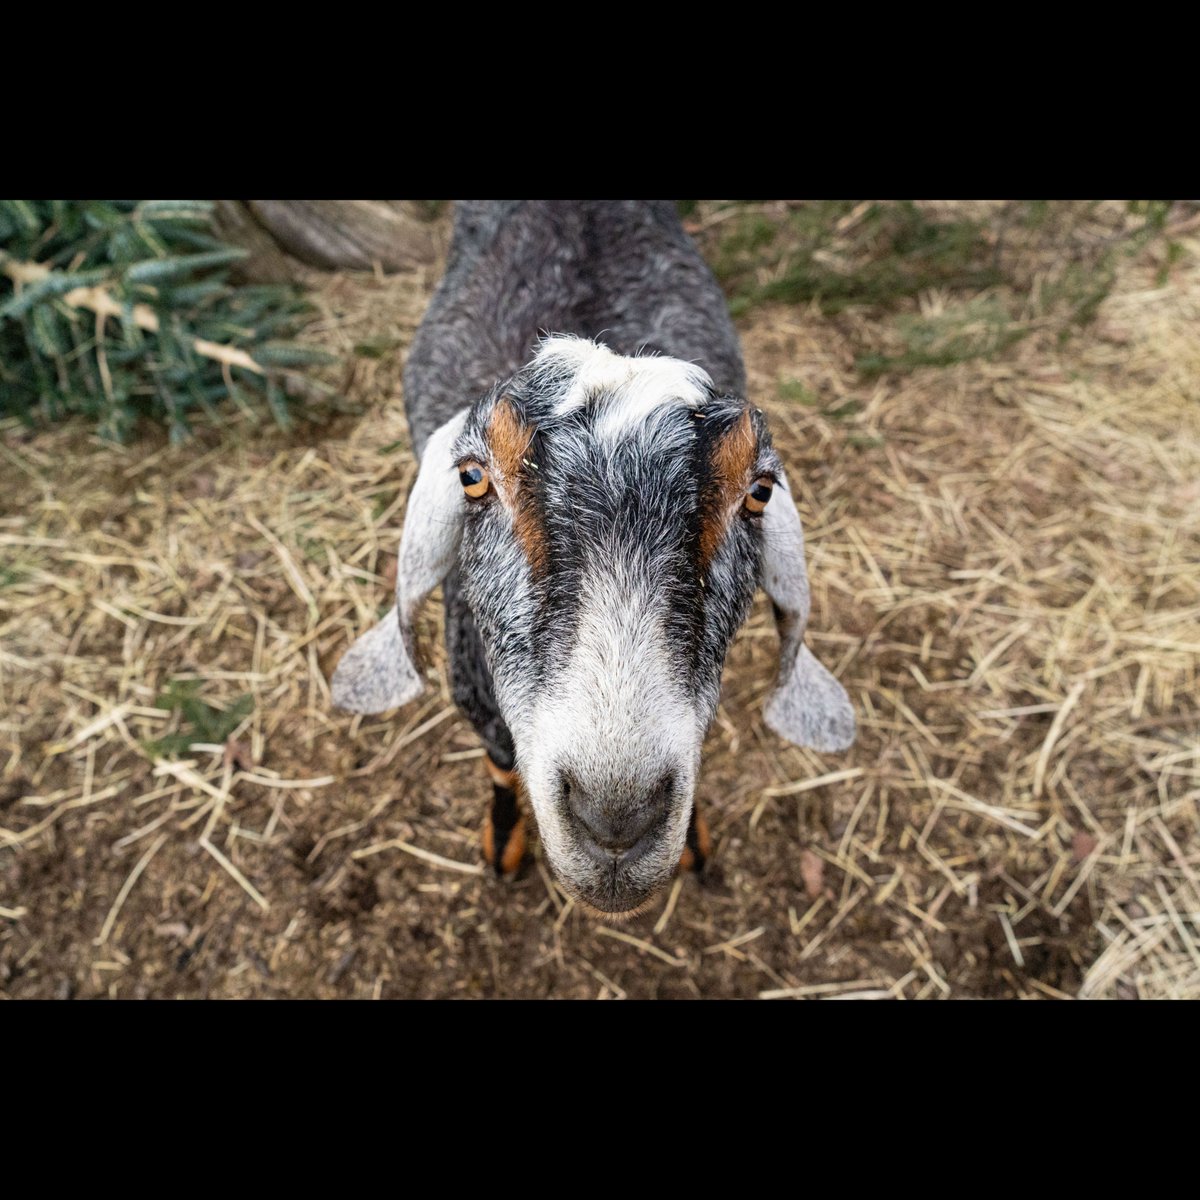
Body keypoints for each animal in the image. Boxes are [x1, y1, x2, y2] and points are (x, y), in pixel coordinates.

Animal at [331, 200, 855, 916]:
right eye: (473, 478)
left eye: (759, 491)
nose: (616, 818)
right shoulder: (474, 692)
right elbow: (499, 759)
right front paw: (504, 845)